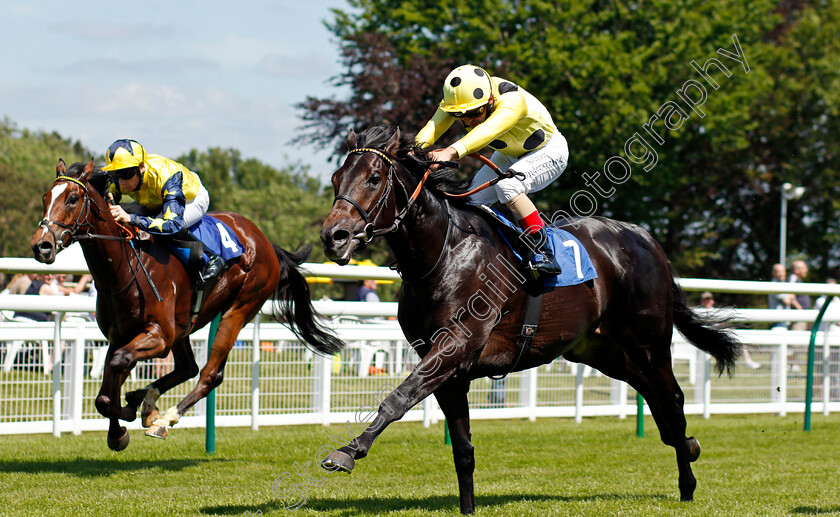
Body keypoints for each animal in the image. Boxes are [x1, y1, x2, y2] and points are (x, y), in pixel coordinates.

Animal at [32, 159, 342, 450]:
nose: (41, 245)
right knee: (188, 367)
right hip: (184, 325)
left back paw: (164, 419)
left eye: (72, 198)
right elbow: (106, 393)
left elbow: (118, 370)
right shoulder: (119, 336)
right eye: (45, 198)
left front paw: (124, 424)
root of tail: (264, 241)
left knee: (208, 374)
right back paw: (146, 402)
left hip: (239, 308)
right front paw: (123, 422)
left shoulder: (159, 334)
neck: (125, 266)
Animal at [318, 126, 740, 512]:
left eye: (374, 178)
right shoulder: (447, 368)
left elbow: (398, 398)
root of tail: (647, 239)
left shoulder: (455, 346)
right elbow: (462, 449)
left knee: (672, 396)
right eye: (336, 178)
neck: (443, 252)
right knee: (652, 395)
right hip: (602, 350)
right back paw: (688, 445)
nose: (333, 236)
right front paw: (467, 507)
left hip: (648, 340)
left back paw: (687, 481)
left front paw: (348, 451)